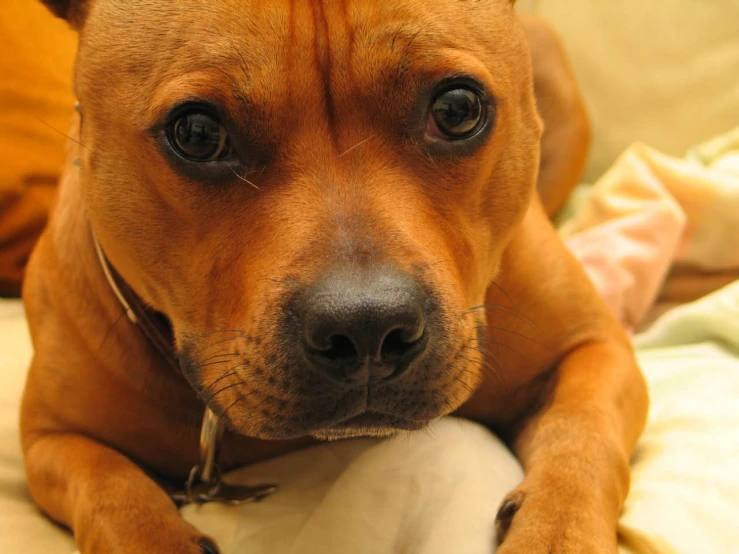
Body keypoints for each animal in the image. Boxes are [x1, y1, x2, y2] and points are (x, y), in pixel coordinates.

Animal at [20, 1, 648, 552]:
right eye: (195, 133)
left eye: (457, 110)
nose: (367, 329)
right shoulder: (51, 438)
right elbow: (113, 491)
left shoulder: (593, 349)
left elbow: (581, 439)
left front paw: (555, 536)